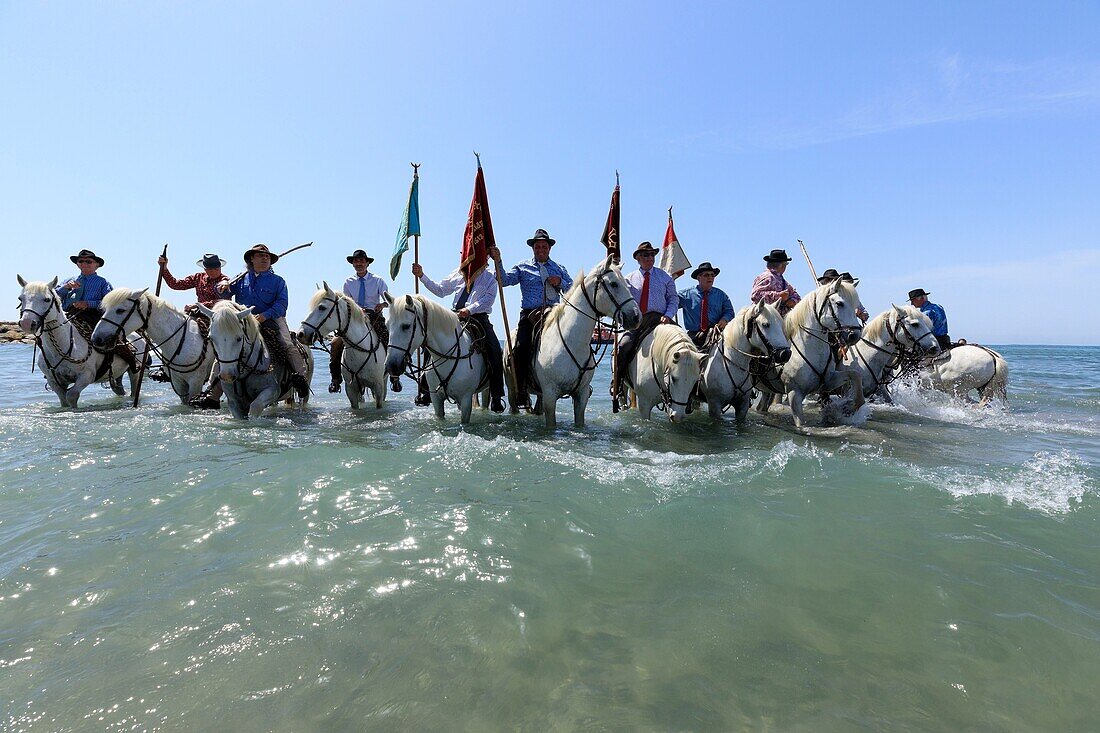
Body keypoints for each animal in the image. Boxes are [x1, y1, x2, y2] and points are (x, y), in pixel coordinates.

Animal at [16, 275, 146, 407]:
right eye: (20, 298)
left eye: (47, 299)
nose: (26, 323)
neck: (67, 345)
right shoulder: (53, 381)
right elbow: (64, 400)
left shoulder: (86, 376)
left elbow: (71, 395)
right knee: (119, 390)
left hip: (134, 373)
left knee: (134, 390)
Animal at [506, 255, 642, 429]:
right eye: (613, 284)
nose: (636, 317)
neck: (570, 343)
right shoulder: (550, 395)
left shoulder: (581, 394)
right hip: (512, 389)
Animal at [756, 279, 866, 429]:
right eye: (839, 303)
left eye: (855, 306)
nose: (854, 335)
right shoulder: (794, 394)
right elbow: (801, 423)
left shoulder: (829, 381)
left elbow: (855, 374)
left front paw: (852, 406)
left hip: (767, 390)